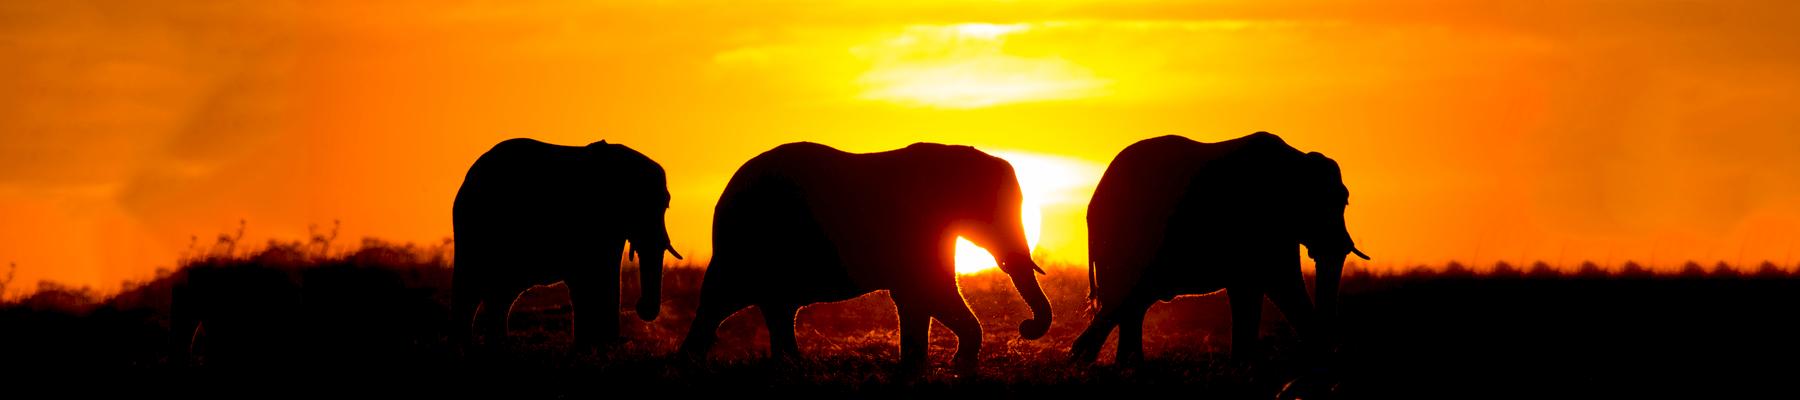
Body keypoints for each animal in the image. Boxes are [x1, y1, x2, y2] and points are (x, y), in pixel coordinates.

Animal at [684, 142, 1051, 372]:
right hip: (745, 244)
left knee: (774, 308)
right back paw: (692, 363)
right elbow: (929, 290)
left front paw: (920, 367)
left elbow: (919, 296)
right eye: (997, 213)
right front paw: (957, 364)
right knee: (720, 301)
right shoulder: (918, 225)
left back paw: (788, 366)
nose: (1025, 327)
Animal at [1065, 132, 1360, 363]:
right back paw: (1088, 359)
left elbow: (1252, 289)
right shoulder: (1264, 224)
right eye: (1336, 204)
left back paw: (1110, 362)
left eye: (1344, 202)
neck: (1297, 161)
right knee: (1124, 300)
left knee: (1132, 303)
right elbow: (1281, 283)